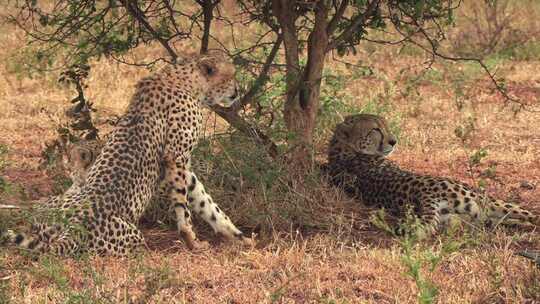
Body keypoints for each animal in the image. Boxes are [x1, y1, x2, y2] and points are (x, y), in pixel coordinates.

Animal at [1, 51, 253, 254]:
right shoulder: (175, 158)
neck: (187, 81)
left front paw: (238, 236)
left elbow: (206, 203)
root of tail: (73, 230)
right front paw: (192, 241)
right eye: (231, 75)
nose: (237, 91)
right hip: (134, 237)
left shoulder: (184, 167)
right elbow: (184, 207)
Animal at [326, 114, 536, 235]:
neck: (345, 149)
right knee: (529, 217)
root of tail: (423, 195)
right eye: (375, 130)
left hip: (469, 218)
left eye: (385, 126)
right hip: (485, 202)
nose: (394, 141)